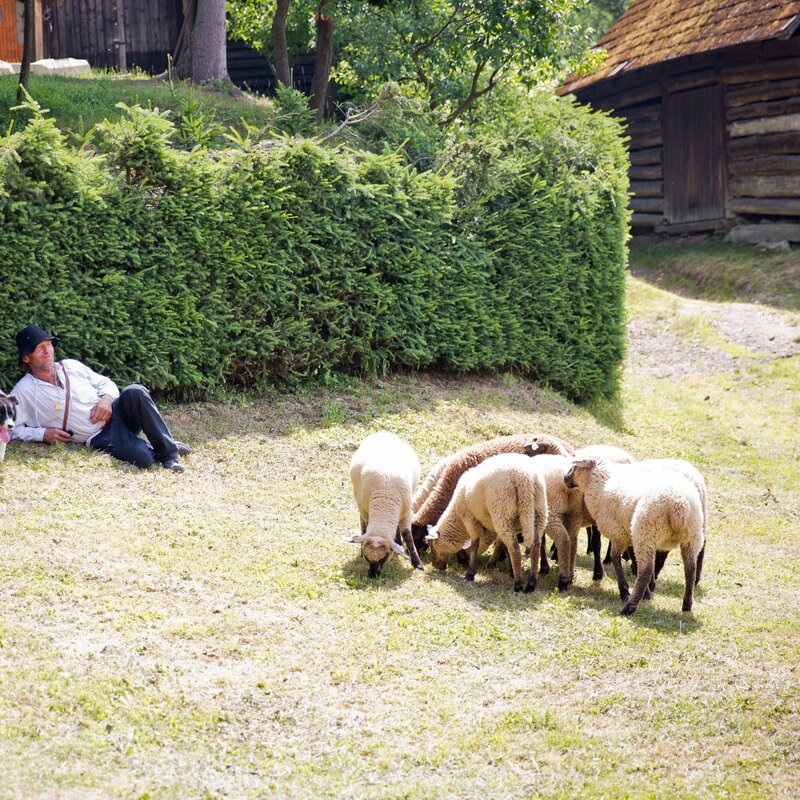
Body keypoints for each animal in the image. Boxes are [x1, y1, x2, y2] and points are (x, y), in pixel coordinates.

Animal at [350, 428, 424, 580]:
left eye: (384, 558)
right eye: (367, 557)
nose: (373, 576)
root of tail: (382, 432)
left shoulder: (406, 512)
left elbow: (407, 535)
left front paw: (417, 563)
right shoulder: (366, 511)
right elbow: (365, 527)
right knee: (362, 523)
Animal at [564, 456, 704, 620]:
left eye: (575, 467)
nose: (565, 478)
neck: (601, 484)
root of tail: (679, 505)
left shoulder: (618, 533)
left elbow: (615, 558)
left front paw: (624, 590)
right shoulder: (629, 533)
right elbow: (633, 559)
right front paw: (646, 595)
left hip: (646, 532)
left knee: (647, 570)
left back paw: (629, 607)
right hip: (691, 536)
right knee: (690, 569)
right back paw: (686, 605)